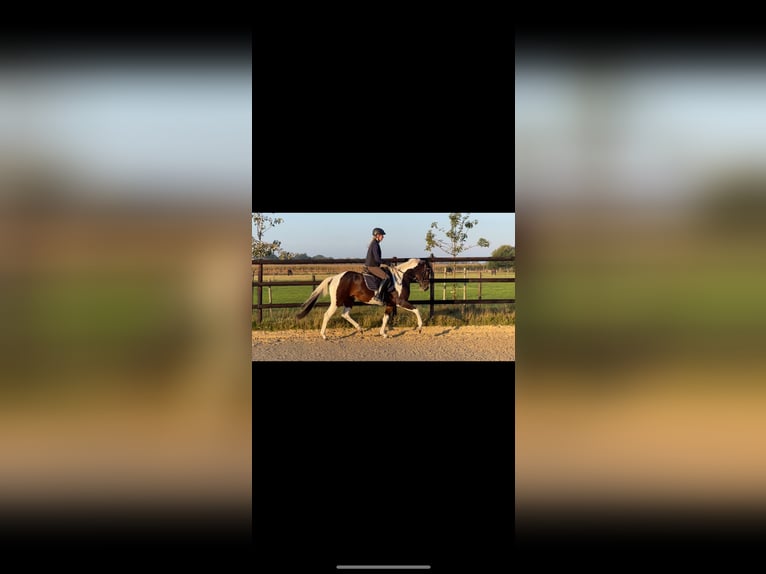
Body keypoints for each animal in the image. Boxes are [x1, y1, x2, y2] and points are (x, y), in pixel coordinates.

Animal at [295, 258, 432, 340]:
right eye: (427, 271)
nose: (426, 287)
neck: (401, 278)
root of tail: (335, 277)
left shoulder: (390, 304)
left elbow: (385, 318)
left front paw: (383, 334)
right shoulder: (400, 302)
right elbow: (416, 310)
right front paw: (420, 328)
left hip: (349, 301)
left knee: (345, 314)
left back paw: (360, 329)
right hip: (337, 301)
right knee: (327, 315)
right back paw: (324, 335)